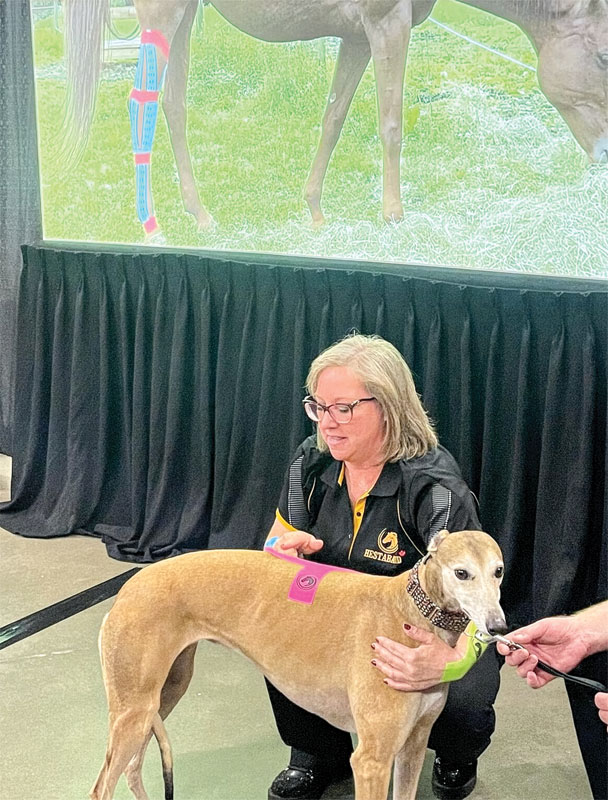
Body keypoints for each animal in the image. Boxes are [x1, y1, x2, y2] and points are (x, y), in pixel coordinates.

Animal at [63, 0, 608, 240]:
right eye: (603, 57)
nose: (602, 156)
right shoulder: (388, 23)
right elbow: (391, 122)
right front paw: (393, 214)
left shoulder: (357, 37)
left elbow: (334, 117)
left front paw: (316, 210)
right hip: (164, 12)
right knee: (142, 104)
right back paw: (152, 226)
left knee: (172, 106)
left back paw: (200, 214)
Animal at [91, 529, 507, 800]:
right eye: (461, 572)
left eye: (499, 570)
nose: (498, 628)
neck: (409, 612)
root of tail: (130, 586)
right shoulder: (372, 759)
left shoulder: (413, 745)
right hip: (134, 710)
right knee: (102, 786)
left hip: (164, 693)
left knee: (131, 769)